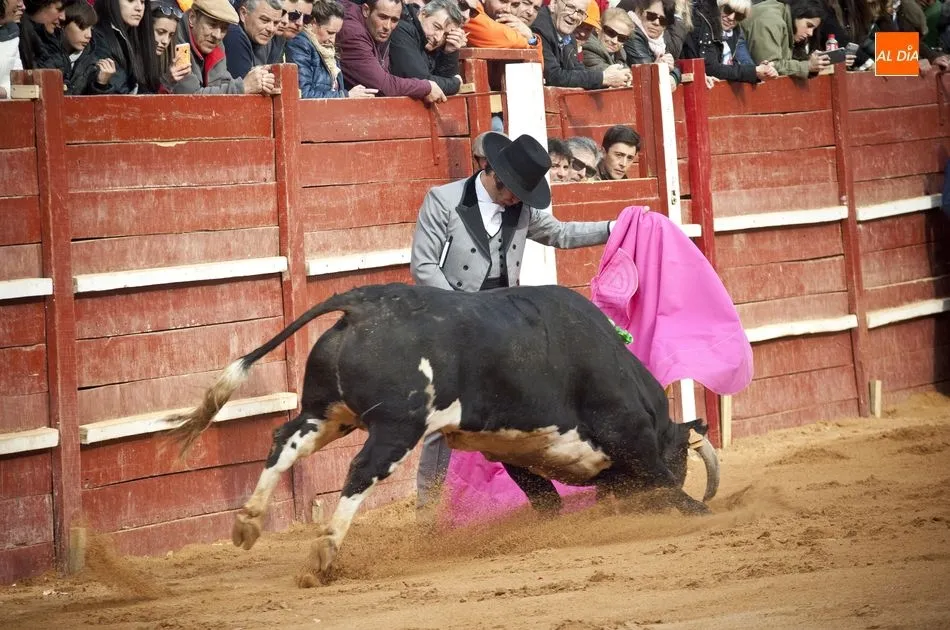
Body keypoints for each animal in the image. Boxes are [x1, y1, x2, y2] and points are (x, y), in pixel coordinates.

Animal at [166, 283, 719, 587]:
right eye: (682, 457)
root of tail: (363, 304)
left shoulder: (515, 450)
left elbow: (546, 500)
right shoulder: (628, 432)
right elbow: (660, 480)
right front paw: (699, 512)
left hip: (328, 413)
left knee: (286, 440)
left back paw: (248, 523)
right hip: (397, 426)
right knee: (362, 471)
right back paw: (325, 551)